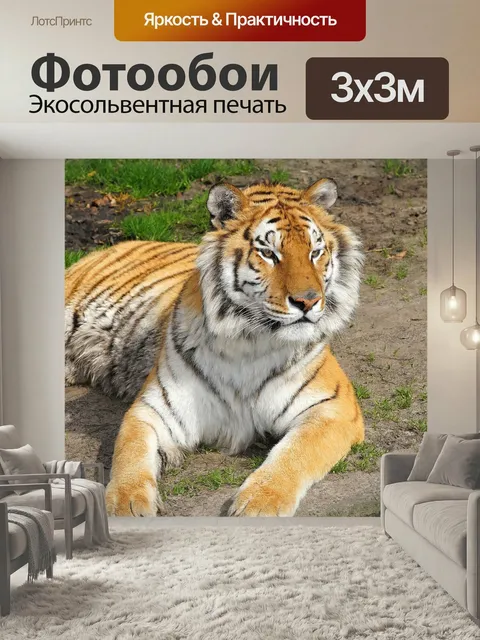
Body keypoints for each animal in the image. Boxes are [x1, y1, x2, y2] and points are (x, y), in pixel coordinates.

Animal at [65, 178, 365, 517]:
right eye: (269, 253)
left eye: (315, 252)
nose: (308, 301)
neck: (249, 341)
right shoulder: (153, 410)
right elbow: (131, 453)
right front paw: (126, 505)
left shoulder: (332, 408)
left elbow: (295, 453)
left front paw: (260, 502)